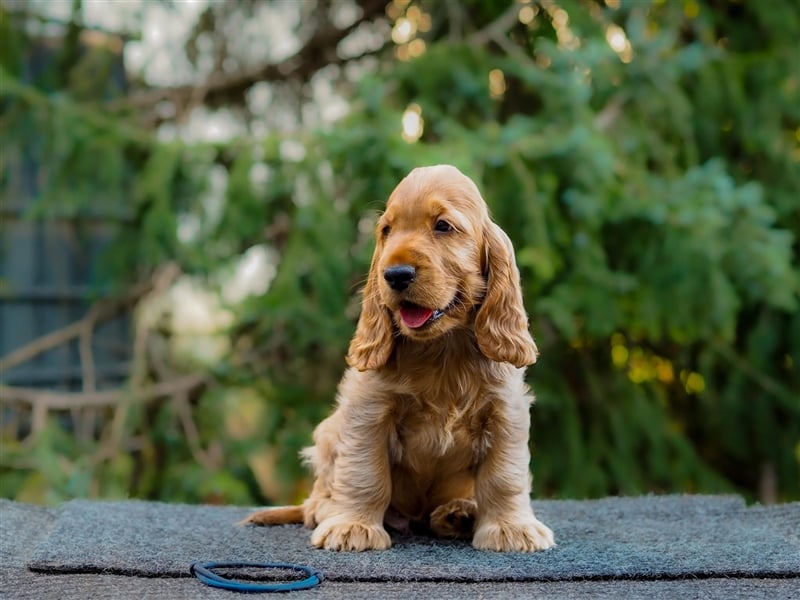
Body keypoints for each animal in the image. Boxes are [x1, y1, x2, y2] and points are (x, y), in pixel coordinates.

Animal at [245, 164, 556, 552]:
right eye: (386, 230)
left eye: (443, 226)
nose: (395, 274)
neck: (442, 349)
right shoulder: (369, 410)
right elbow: (364, 473)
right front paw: (352, 526)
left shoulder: (505, 411)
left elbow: (504, 476)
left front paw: (511, 528)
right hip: (330, 431)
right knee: (322, 490)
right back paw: (325, 509)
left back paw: (458, 513)